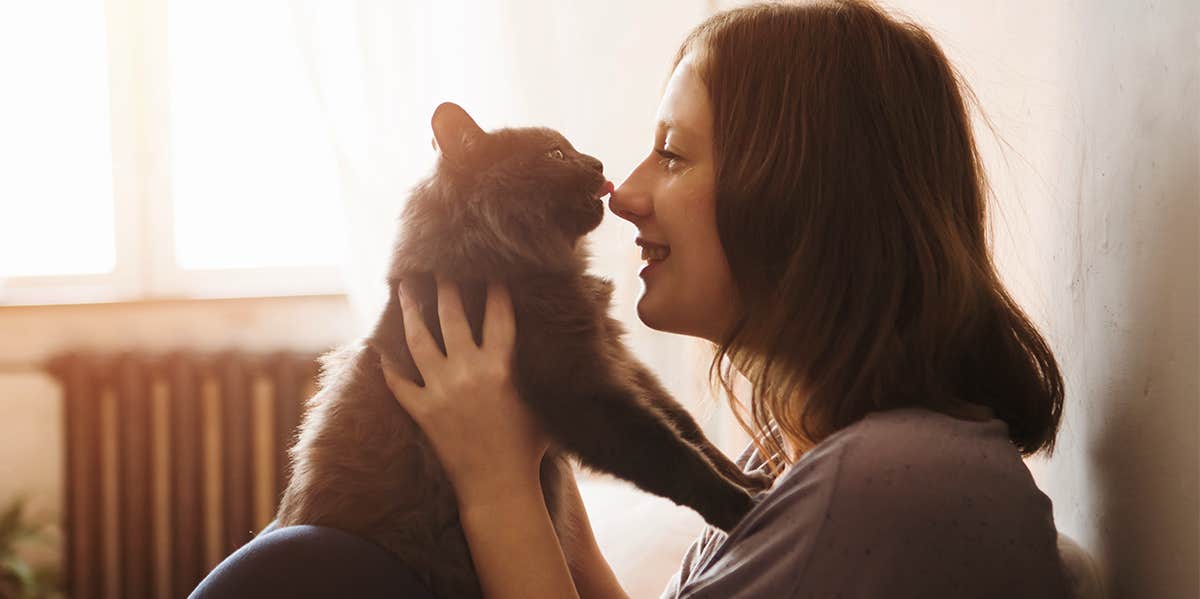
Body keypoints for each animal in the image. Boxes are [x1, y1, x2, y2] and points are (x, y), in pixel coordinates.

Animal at [277, 100, 768, 597]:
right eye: (555, 154)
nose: (598, 164)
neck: (512, 267)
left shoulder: (619, 361)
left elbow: (689, 429)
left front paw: (752, 477)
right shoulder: (580, 390)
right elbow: (670, 454)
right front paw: (741, 507)